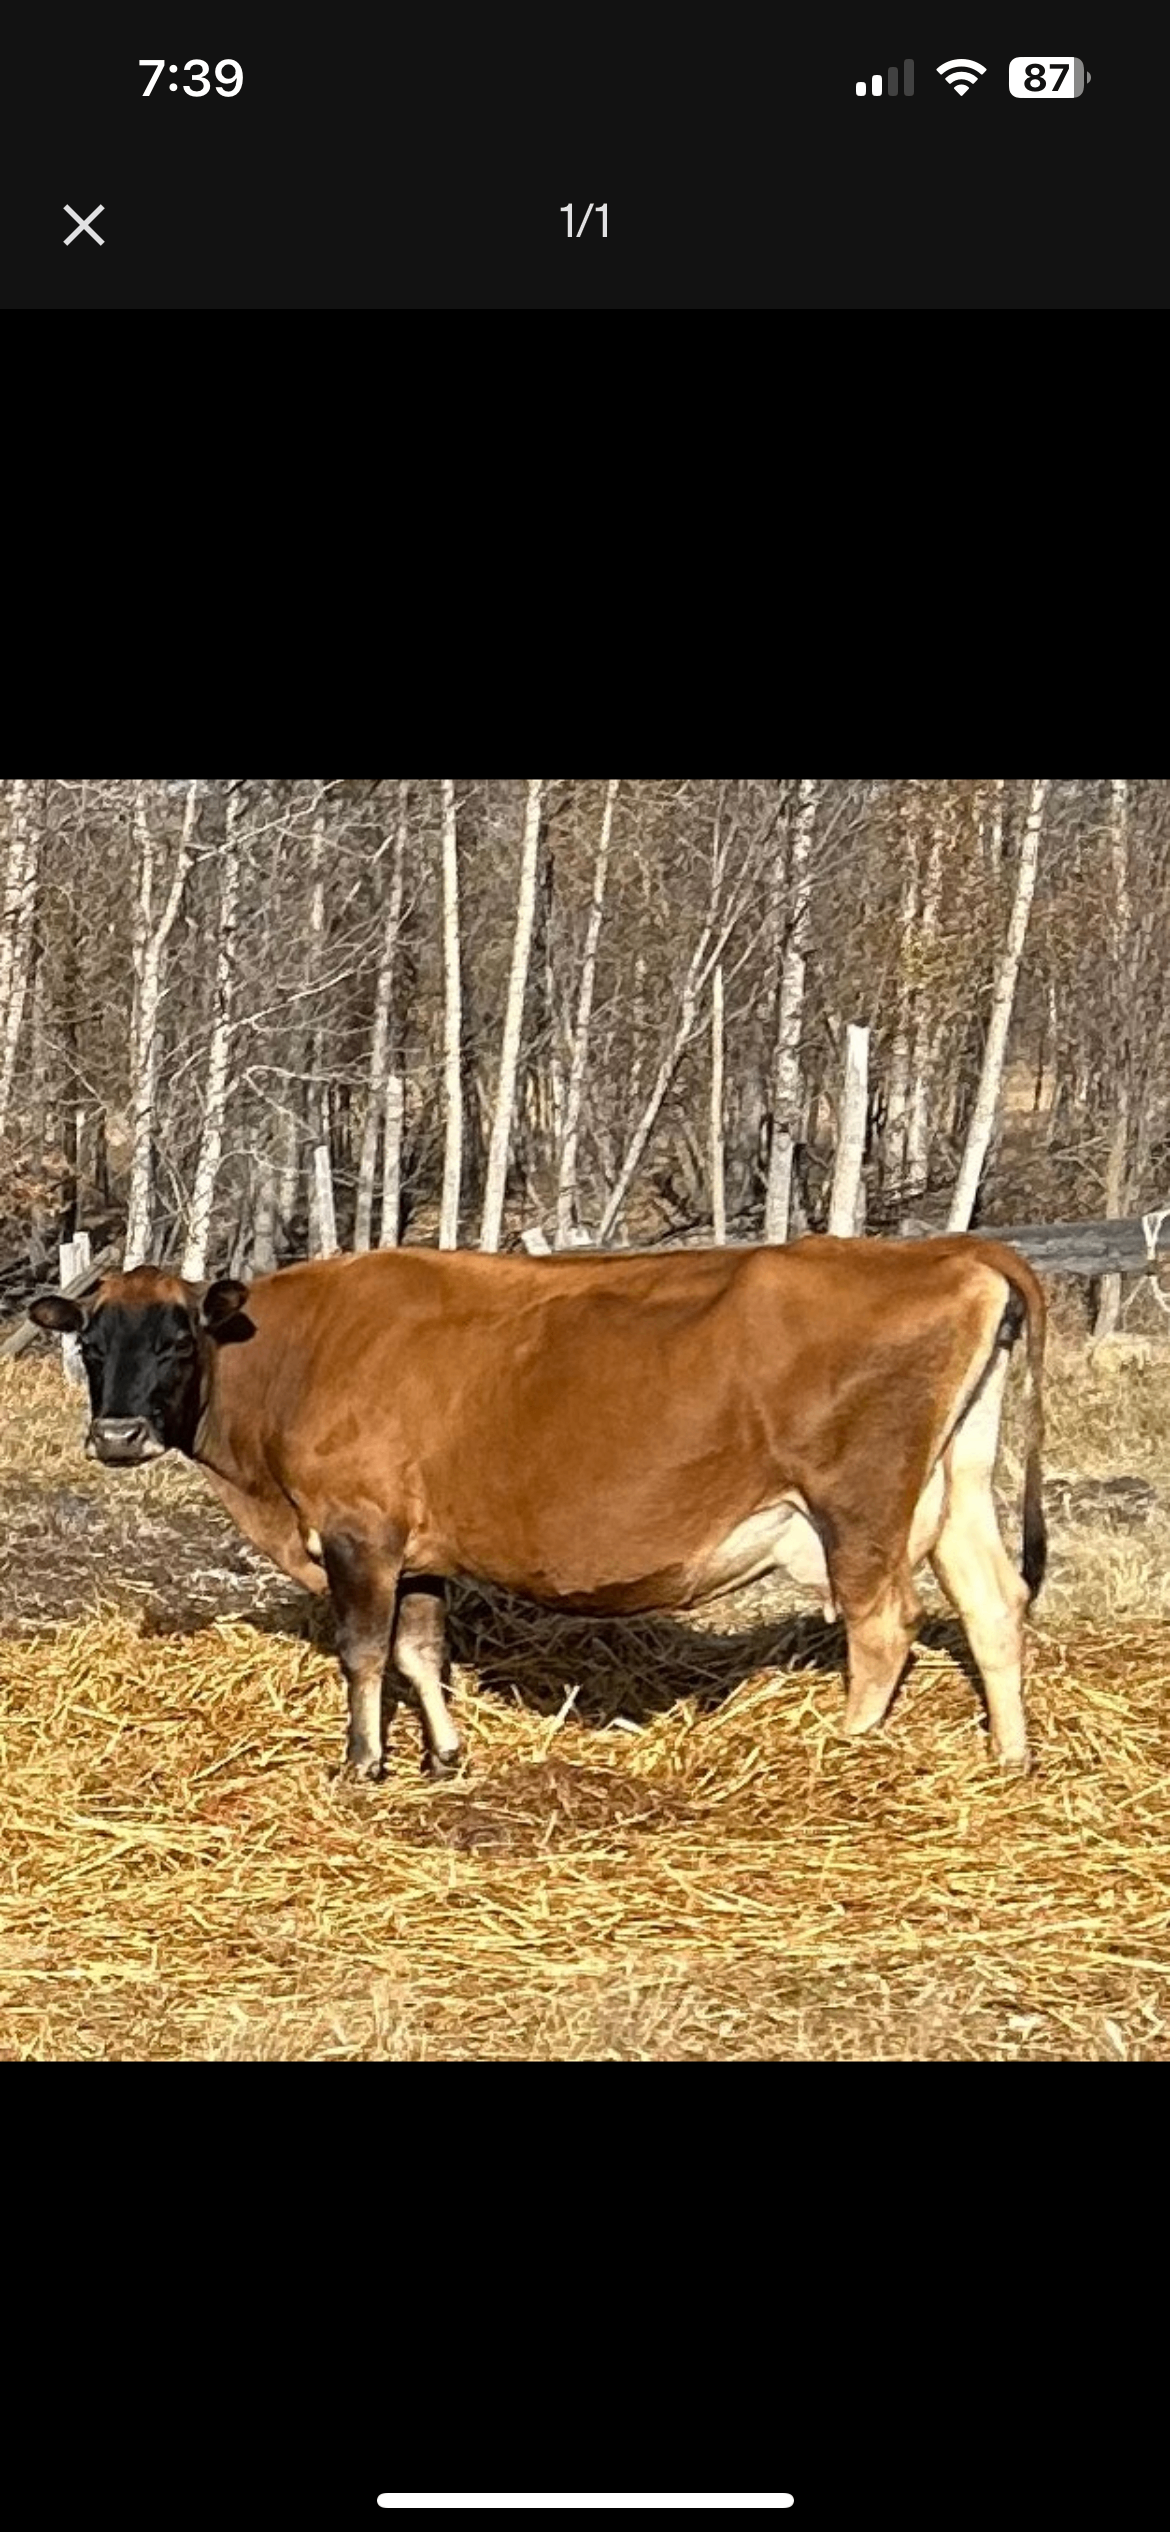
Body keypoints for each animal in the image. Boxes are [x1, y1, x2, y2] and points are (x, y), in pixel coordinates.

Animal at [29, 1233, 1047, 1779]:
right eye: (91, 1343)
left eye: (177, 1340)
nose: (116, 1435)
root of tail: (951, 1250)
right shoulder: (422, 1549)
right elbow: (421, 1650)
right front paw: (444, 1757)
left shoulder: (361, 1531)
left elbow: (365, 1652)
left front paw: (362, 1764)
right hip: (957, 1487)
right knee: (993, 1605)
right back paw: (1008, 1759)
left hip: (858, 1506)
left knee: (883, 1624)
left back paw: (841, 1748)